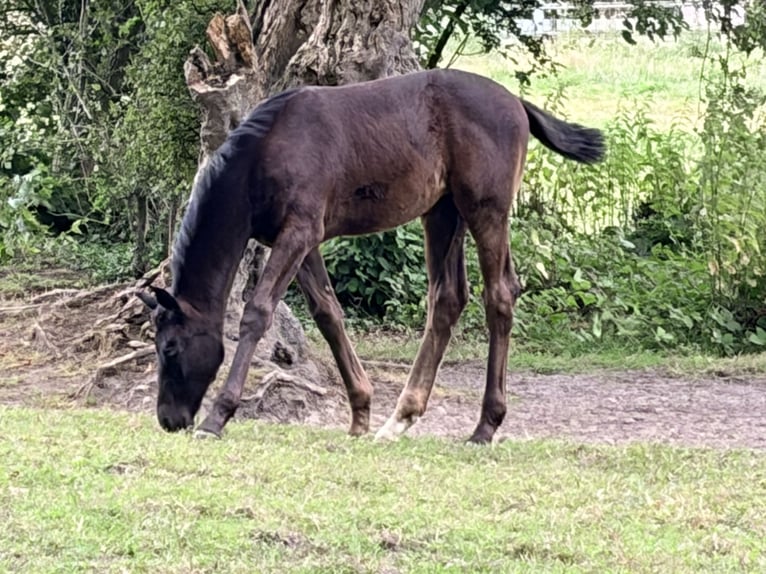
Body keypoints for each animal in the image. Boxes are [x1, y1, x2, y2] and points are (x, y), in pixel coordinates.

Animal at [136, 68, 605, 444]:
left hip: (485, 210)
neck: (265, 151)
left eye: (170, 348)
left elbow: (257, 312)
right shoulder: (300, 240)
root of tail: (516, 104)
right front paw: (360, 414)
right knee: (448, 298)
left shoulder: (299, 232)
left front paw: (217, 417)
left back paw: (484, 427)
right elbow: (328, 313)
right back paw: (400, 418)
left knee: (501, 294)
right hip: (443, 213)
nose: (169, 419)